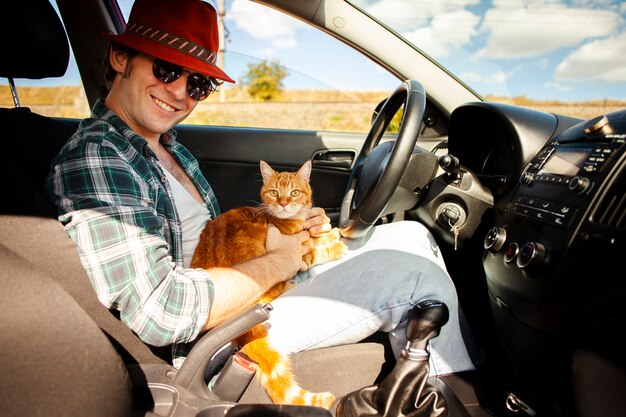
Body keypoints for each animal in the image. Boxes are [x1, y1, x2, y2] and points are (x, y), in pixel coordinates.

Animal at [190, 158, 346, 406]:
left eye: (293, 192)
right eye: (274, 192)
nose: (282, 203)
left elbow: (315, 236)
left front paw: (329, 233)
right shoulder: (299, 256)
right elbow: (313, 250)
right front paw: (333, 243)